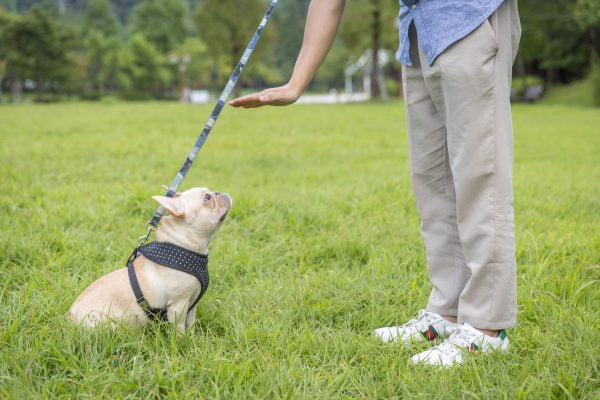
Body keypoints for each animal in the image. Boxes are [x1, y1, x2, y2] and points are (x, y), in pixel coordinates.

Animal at [69, 189, 231, 332]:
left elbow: (190, 323)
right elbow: (179, 330)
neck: (183, 245)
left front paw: (192, 338)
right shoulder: (178, 306)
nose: (219, 192)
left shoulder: (192, 306)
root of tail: (68, 319)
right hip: (105, 324)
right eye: (208, 198)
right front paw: (182, 342)